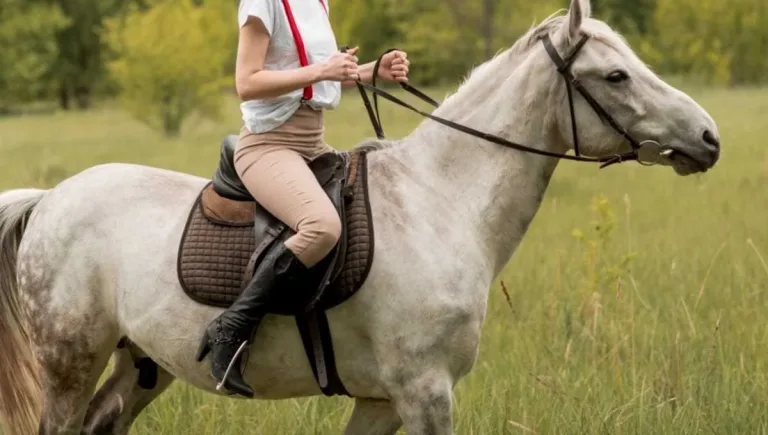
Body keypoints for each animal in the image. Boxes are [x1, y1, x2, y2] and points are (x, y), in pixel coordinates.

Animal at [0, 1, 720, 433]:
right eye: (616, 76)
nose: (709, 138)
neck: (441, 202)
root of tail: (51, 198)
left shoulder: (382, 399)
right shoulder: (426, 392)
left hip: (140, 362)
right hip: (69, 360)